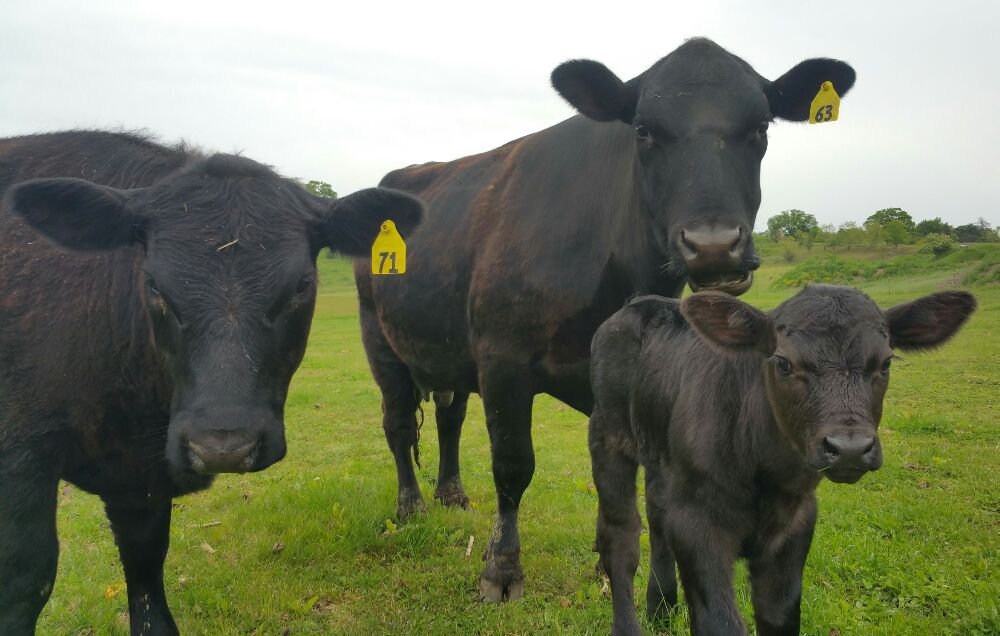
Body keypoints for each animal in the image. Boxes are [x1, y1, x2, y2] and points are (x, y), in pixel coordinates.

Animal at [0, 130, 423, 635]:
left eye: (302, 285)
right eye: (153, 284)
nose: (224, 446)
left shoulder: (141, 479)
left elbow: (146, 575)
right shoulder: (21, 458)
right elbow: (26, 577)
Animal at [354, 37, 856, 601]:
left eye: (762, 127)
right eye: (643, 130)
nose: (713, 246)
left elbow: (625, 473)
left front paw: (614, 565)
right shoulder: (503, 360)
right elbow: (513, 466)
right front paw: (501, 569)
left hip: (446, 349)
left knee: (448, 416)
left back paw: (451, 493)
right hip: (380, 340)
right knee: (398, 425)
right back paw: (411, 506)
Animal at [588, 286, 976, 635]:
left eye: (885, 363)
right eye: (784, 363)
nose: (850, 447)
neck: (765, 475)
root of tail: (639, 302)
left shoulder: (795, 525)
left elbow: (780, 615)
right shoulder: (696, 522)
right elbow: (720, 622)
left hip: (660, 458)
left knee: (656, 520)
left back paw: (661, 612)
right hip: (608, 436)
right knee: (621, 537)